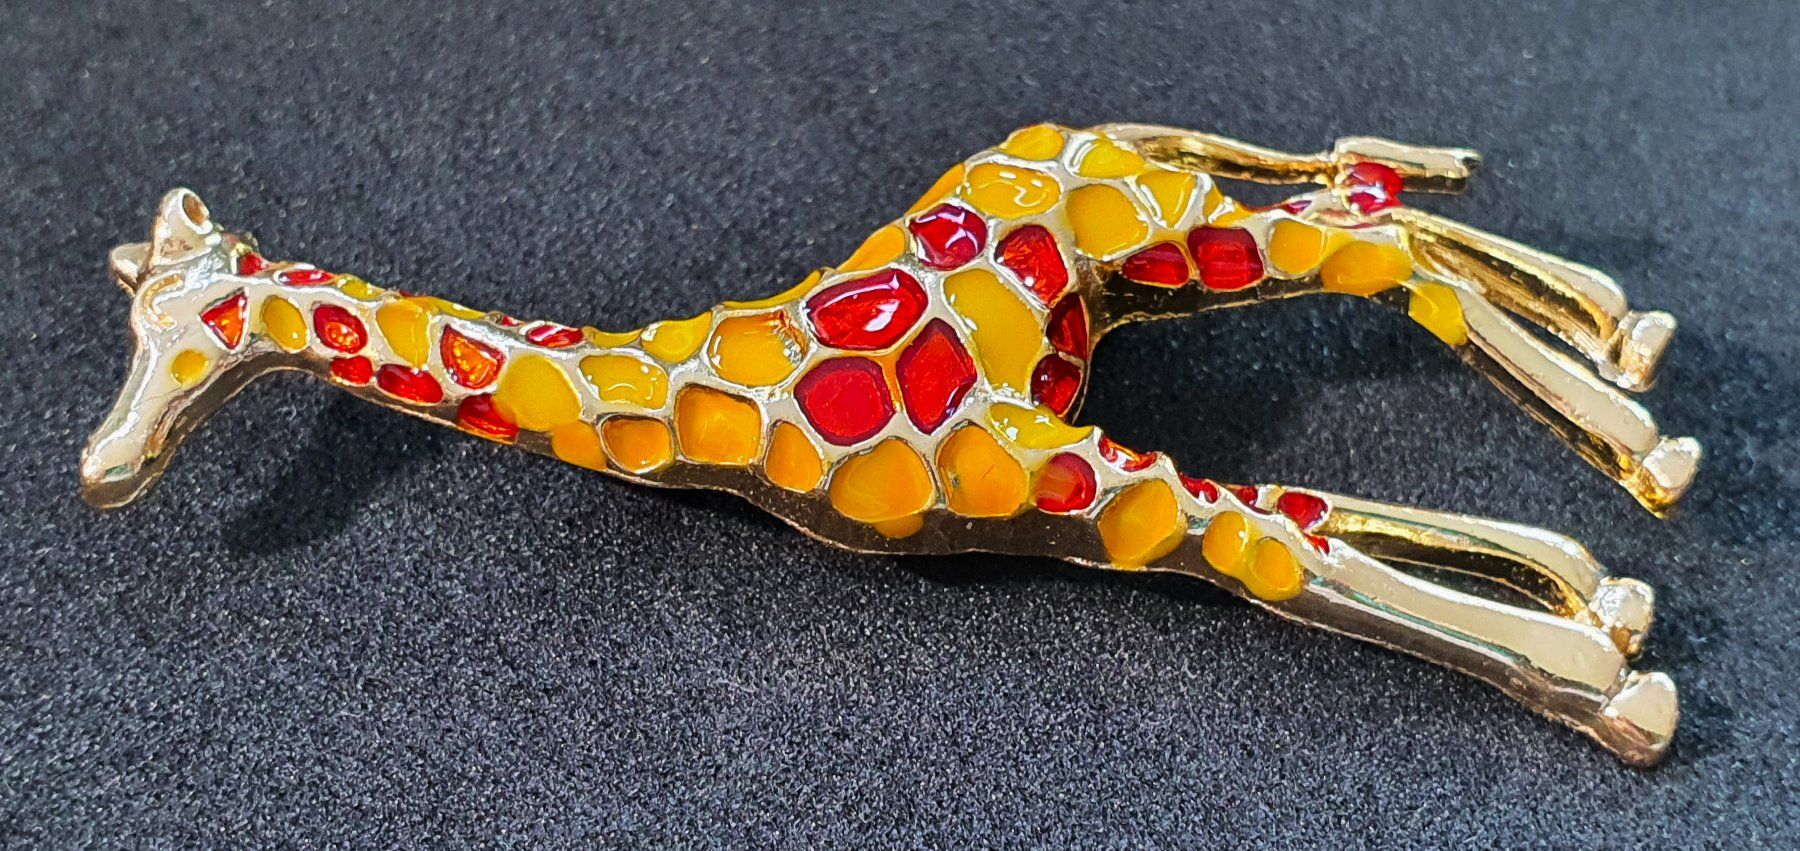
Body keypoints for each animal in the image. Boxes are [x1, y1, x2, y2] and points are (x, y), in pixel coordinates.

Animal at [82, 123, 1698, 766]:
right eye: (130, 325)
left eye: (193, 327)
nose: (102, 465)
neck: (695, 390)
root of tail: (1081, 127)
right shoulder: (1071, 456)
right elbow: (1301, 520)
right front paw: (1606, 611)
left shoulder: (1061, 477)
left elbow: (1278, 549)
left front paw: (1609, 689)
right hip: (1171, 249)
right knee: (1376, 213)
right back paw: (1636, 384)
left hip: (1179, 227)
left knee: (1377, 232)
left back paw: (1645, 429)